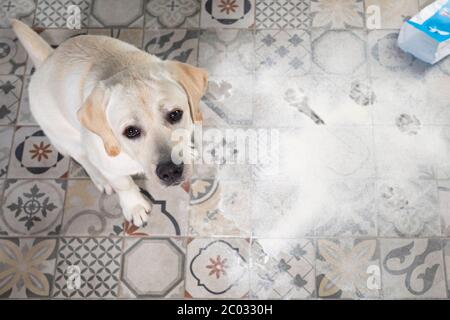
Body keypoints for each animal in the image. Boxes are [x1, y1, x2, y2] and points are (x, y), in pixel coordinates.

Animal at [11, 19, 207, 228]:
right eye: (131, 131)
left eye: (175, 114)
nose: (170, 171)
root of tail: (47, 58)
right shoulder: (112, 166)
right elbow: (124, 185)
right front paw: (134, 206)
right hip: (66, 139)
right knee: (84, 158)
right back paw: (101, 179)